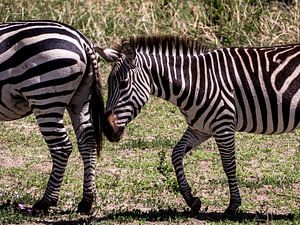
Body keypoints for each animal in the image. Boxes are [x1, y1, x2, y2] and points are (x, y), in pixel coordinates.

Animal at [0, 20, 104, 214]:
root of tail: (82, 40)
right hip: (80, 99)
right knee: (88, 142)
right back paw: (86, 201)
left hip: (45, 96)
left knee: (61, 147)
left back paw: (46, 202)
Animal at [96, 36, 300, 214]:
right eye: (108, 84)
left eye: (123, 84)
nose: (107, 129)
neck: (196, 81)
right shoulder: (200, 128)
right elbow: (176, 154)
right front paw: (192, 200)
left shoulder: (223, 125)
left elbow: (228, 164)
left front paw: (233, 205)